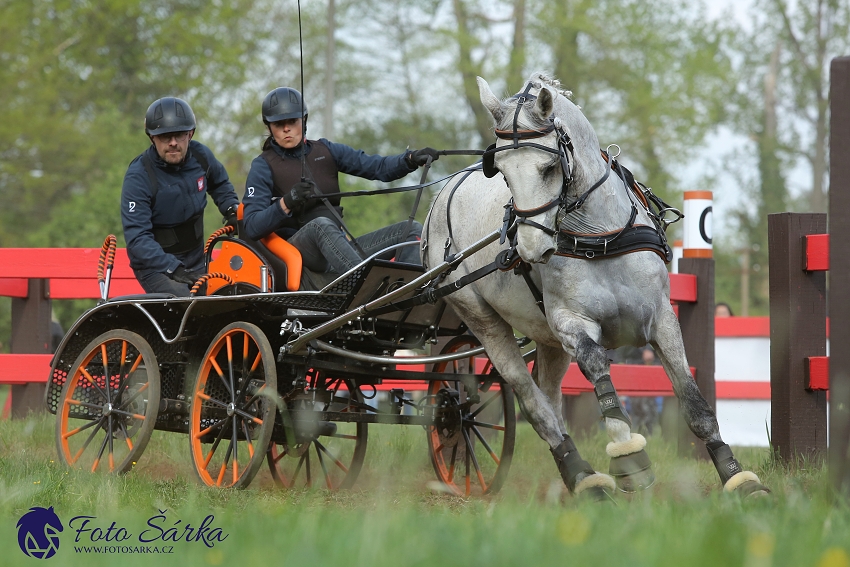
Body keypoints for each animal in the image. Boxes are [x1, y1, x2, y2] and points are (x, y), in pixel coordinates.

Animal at [424, 72, 768, 502]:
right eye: (501, 170)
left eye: (549, 166)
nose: (531, 249)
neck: (599, 237)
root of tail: (441, 197)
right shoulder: (572, 323)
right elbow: (600, 375)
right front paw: (628, 458)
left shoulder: (662, 319)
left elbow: (693, 402)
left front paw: (737, 477)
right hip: (481, 317)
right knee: (533, 402)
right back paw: (580, 473)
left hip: (547, 339)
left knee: (551, 396)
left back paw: (580, 475)